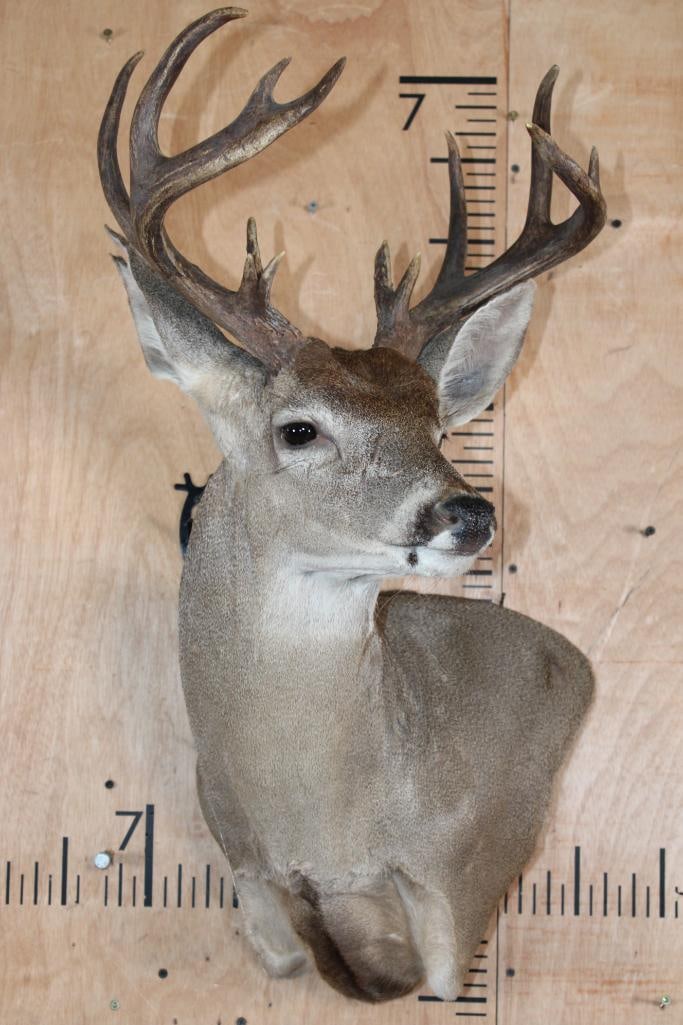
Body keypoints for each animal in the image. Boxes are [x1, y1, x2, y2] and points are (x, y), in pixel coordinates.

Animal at [98, 7, 605, 1004]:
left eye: (437, 425)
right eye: (299, 429)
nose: (466, 512)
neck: (319, 826)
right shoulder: (254, 886)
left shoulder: (458, 879)